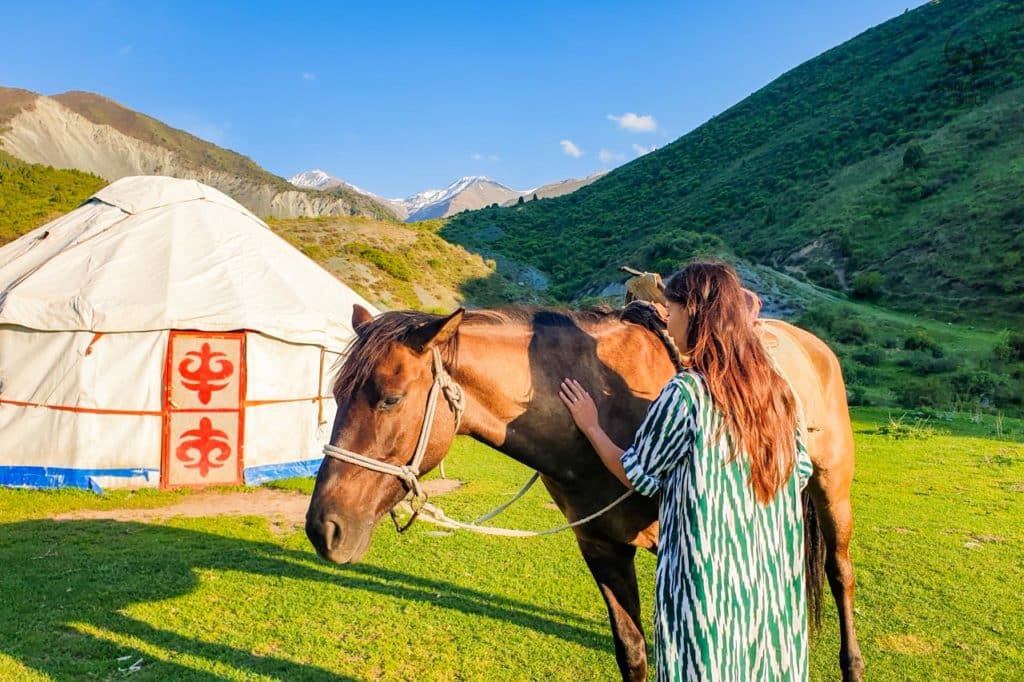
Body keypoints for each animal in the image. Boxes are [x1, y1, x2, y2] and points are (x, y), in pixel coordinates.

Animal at [305, 303, 864, 679]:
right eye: (333, 393)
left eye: (390, 398)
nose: (323, 528)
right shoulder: (602, 547)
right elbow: (634, 651)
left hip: (831, 491)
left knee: (838, 574)